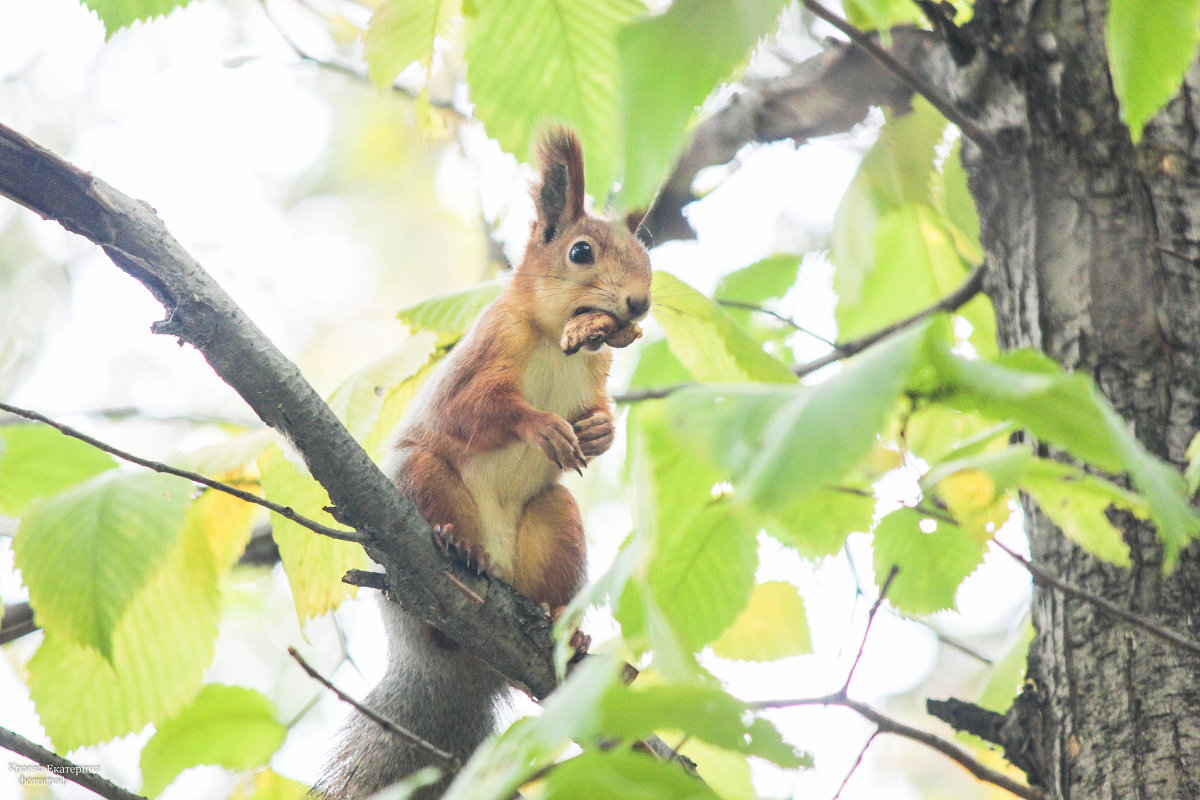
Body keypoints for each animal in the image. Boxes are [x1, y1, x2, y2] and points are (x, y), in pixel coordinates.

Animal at [319, 128, 652, 796]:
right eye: (581, 252)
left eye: (646, 254)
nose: (639, 303)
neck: (556, 342)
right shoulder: (483, 354)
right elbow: (477, 410)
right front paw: (541, 426)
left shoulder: (597, 372)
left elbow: (598, 415)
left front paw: (599, 431)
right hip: (423, 485)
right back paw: (457, 546)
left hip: (555, 522)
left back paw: (565, 623)